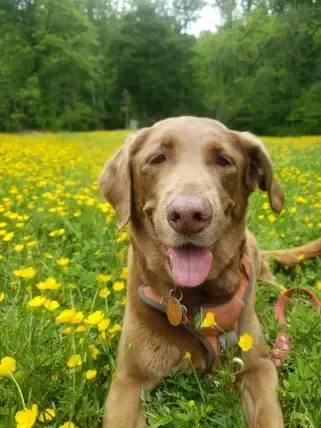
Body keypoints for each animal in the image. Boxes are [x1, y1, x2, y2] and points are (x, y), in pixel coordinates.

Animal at [98, 117, 320, 428]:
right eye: (157, 158)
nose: (188, 215)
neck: (196, 298)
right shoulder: (128, 380)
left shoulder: (259, 366)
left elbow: (267, 415)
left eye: (224, 160)